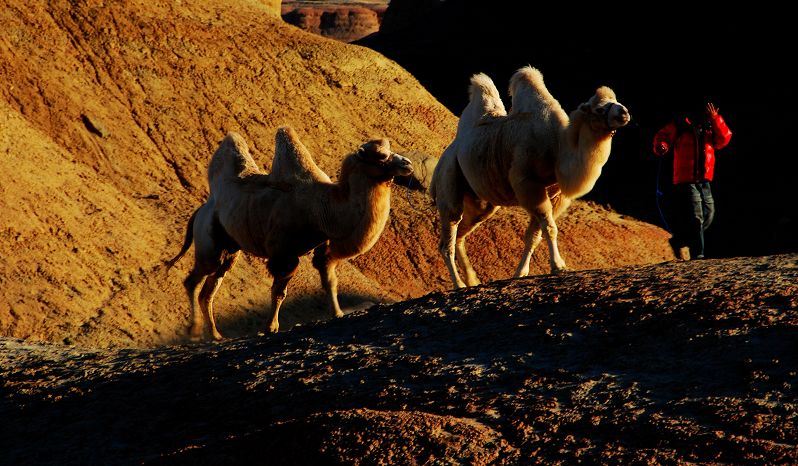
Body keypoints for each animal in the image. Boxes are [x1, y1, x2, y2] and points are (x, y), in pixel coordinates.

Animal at [170, 126, 418, 338]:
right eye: (381, 156)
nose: (407, 163)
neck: (324, 208)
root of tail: (202, 209)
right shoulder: (283, 253)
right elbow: (279, 292)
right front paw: (270, 327)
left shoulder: (323, 246)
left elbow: (330, 279)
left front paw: (337, 313)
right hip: (209, 242)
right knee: (194, 281)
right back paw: (195, 332)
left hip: (230, 249)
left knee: (209, 289)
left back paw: (215, 336)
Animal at [432, 65, 632, 290]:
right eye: (599, 109)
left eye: (615, 99)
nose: (624, 112)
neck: (557, 147)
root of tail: (447, 153)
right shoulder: (528, 183)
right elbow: (549, 228)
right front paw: (559, 267)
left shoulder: (556, 194)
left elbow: (535, 235)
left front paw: (520, 273)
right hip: (448, 176)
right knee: (448, 234)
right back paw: (459, 284)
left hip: (481, 201)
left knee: (461, 234)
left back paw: (473, 280)